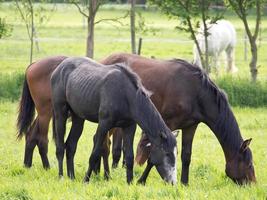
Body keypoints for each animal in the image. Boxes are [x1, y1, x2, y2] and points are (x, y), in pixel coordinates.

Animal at [50, 56, 178, 184]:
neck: (125, 95)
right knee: (60, 147)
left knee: (70, 146)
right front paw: (86, 180)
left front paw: (130, 182)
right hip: (60, 113)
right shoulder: (103, 124)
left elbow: (129, 156)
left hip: (78, 118)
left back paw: (71, 177)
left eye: (176, 153)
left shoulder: (129, 127)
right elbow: (95, 154)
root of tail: (59, 67)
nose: (173, 182)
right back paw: (61, 176)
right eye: (167, 153)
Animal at [101, 52, 258, 184]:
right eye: (249, 164)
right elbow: (153, 157)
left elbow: (186, 156)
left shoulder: (190, 126)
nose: (253, 184)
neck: (195, 92)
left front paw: (184, 182)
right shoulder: (167, 126)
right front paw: (141, 180)